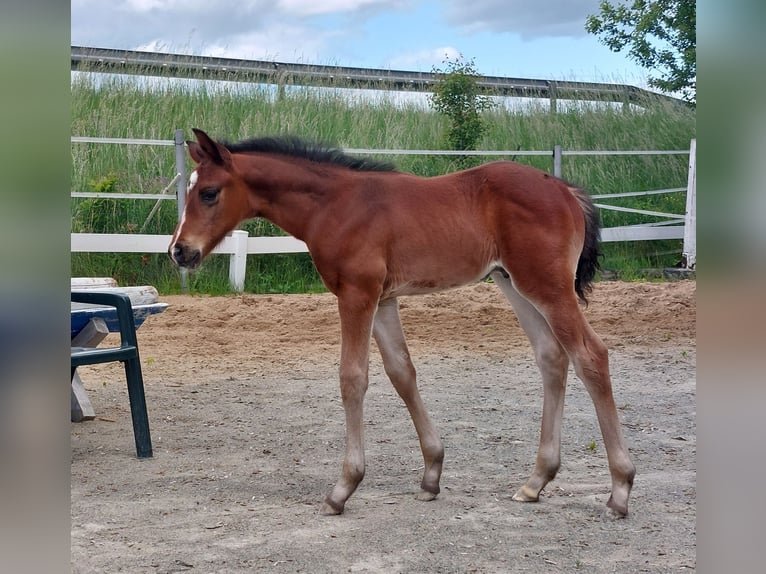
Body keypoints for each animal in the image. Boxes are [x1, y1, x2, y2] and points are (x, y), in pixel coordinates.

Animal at [169, 128, 635, 519]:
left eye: (208, 193)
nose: (179, 251)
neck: (335, 205)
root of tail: (563, 188)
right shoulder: (384, 299)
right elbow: (402, 372)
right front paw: (432, 474)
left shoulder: (357, 295)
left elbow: (353, 378)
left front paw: (343, 488)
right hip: (514, 285)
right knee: (552, 357)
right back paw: (535, 482)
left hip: (547, 287)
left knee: (591, 355)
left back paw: (620, 490)